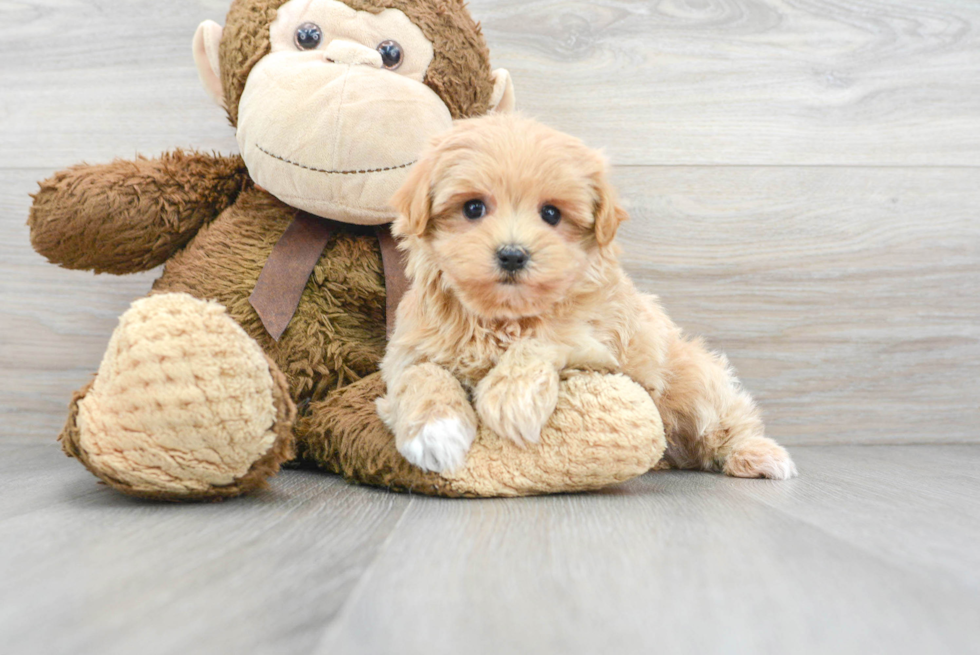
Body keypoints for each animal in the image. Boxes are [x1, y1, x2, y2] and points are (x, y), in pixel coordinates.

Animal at [376, 114, 796, 482]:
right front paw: (436, 431)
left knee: (726, 419)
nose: (512, 254)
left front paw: (510, 399)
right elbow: (419, 374)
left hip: (695, 378)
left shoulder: (599, 345)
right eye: (473, 207)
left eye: (551, 214)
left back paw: (758, 454)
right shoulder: (409, 350)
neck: (503, 317)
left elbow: (544, 340)